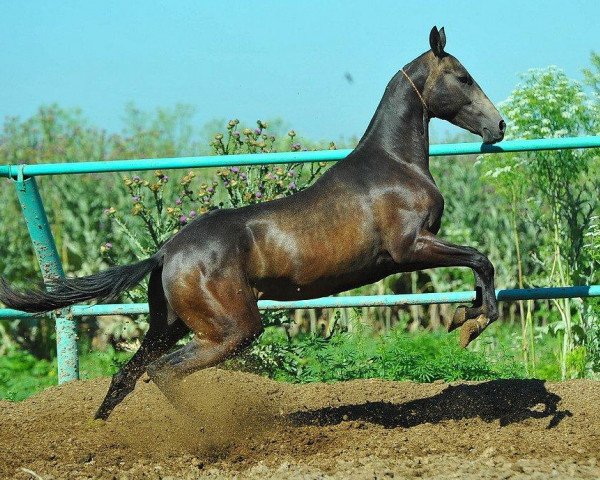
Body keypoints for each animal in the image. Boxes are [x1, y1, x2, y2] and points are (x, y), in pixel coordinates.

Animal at [0, 28, 506, 420]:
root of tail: (165, 252)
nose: (499, 125)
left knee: (129, 373)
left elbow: (478, 267)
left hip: (171, 325)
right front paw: (472, 323)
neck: (396, 164)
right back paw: (204, 433)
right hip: (233, 329)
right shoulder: (410, 247)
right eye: (463, 77)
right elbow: (482, 260)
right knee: (163, 371)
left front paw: (463, 315)